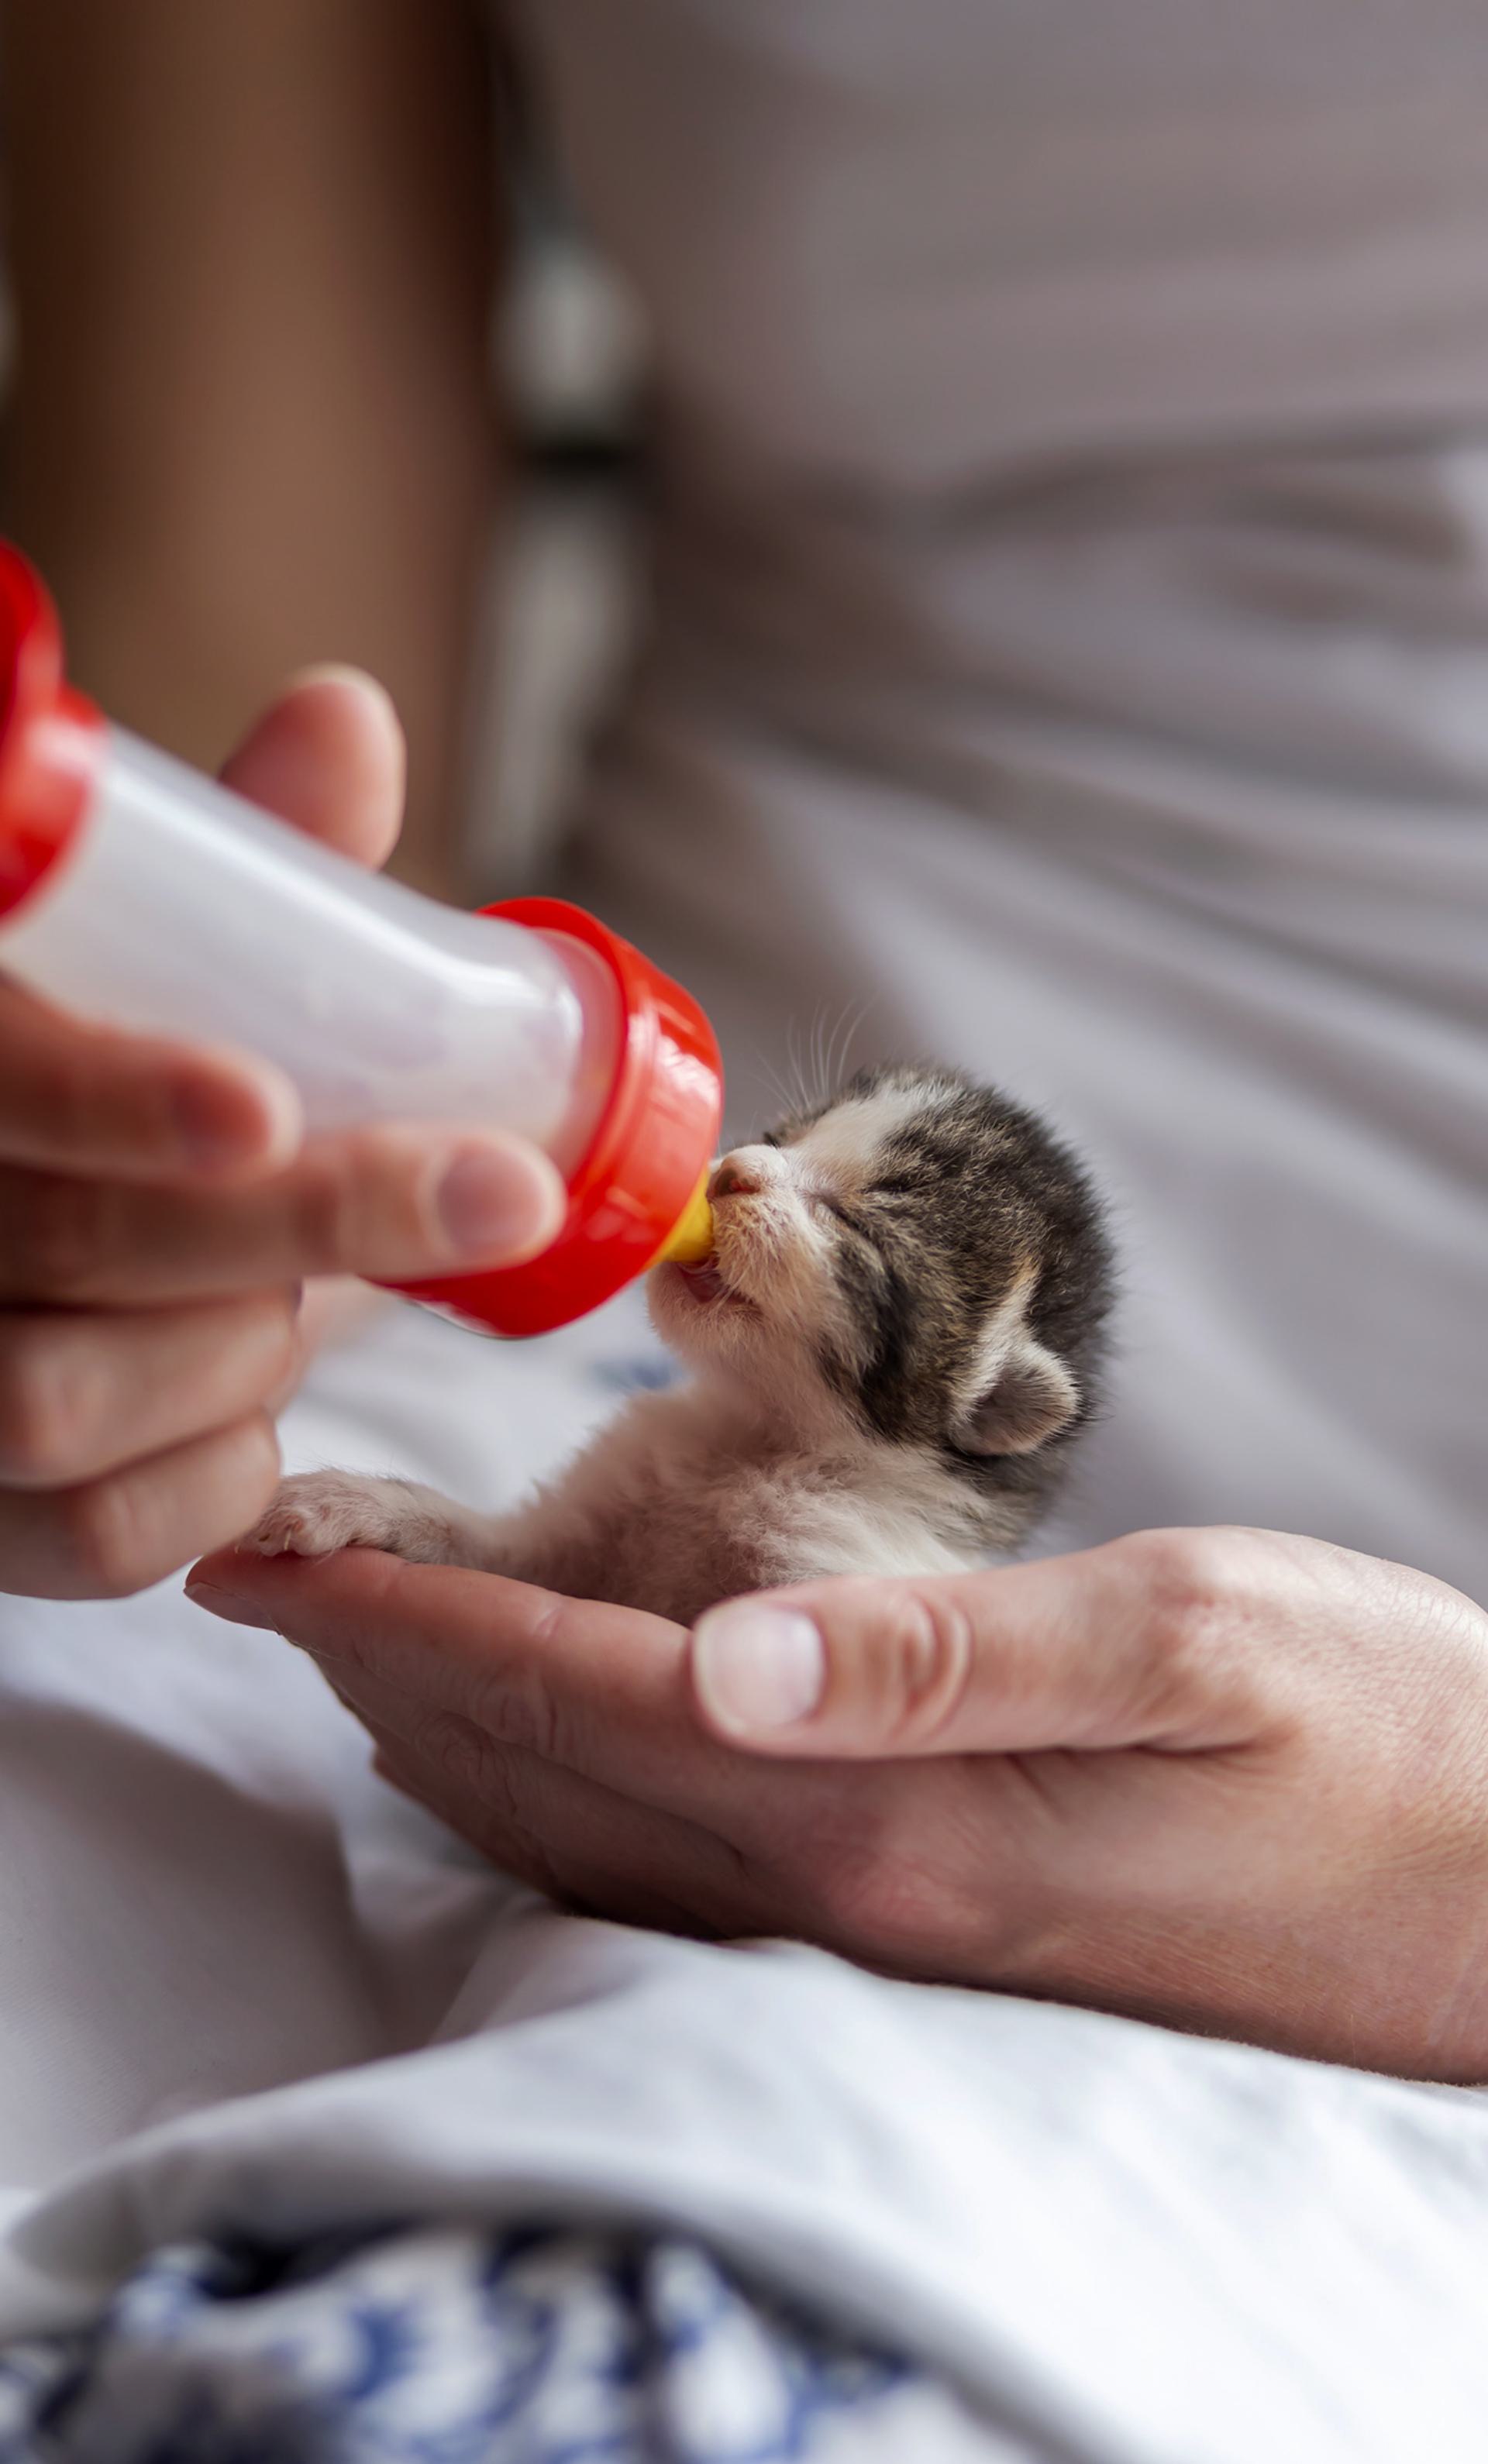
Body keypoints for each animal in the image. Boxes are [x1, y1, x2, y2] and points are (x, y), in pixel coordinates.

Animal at [250, 1064, 1113, 1626]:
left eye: (852, 1221)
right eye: (780, 1135)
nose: (730, 1173)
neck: (759, 1441)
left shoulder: (840, 1565)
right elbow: (497, 1545)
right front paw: (355, 1502)